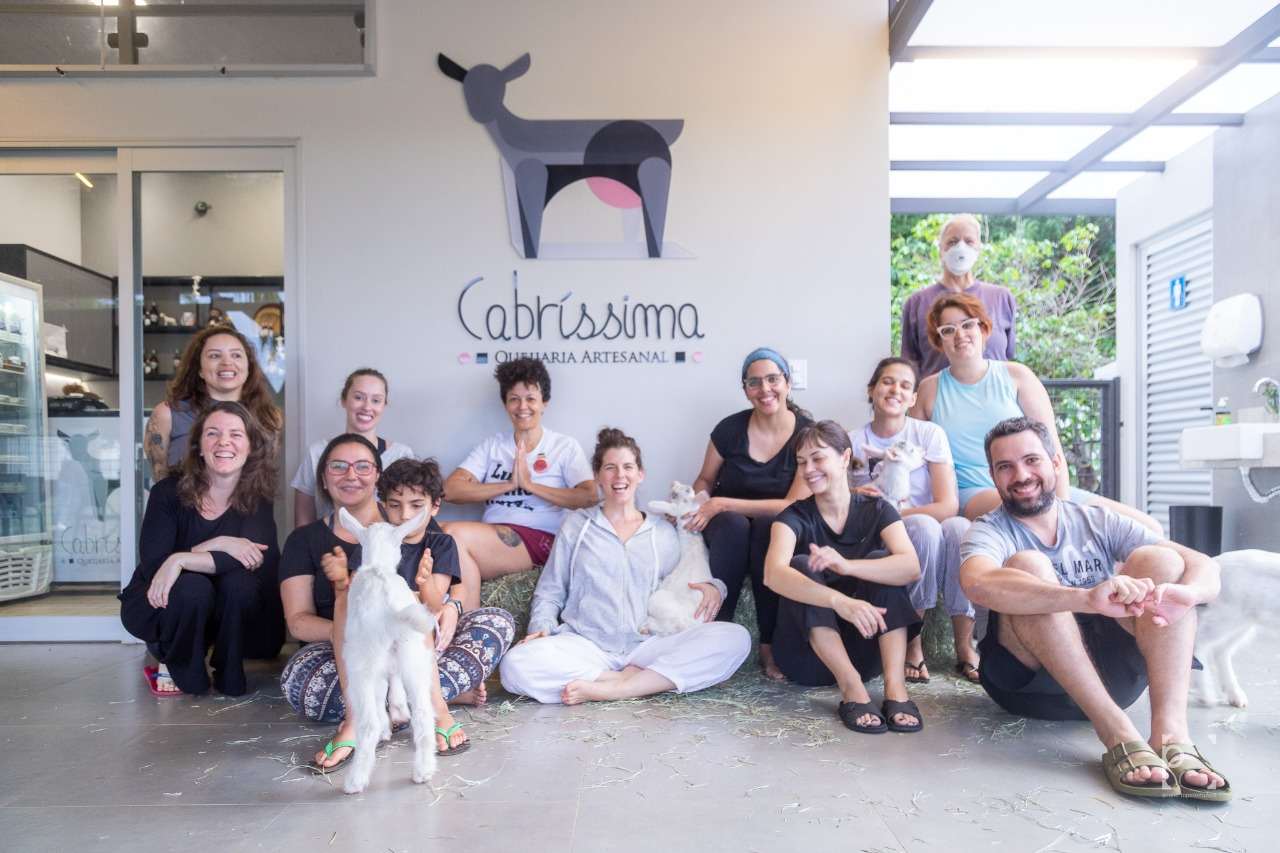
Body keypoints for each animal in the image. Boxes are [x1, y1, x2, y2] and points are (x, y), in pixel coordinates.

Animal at [337, 504, 437, 788]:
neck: (377, 566)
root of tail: (390, 612)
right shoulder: (394, 660)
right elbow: (391, 684)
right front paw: (398, 711)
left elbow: (380, 692)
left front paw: (386, 726)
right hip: (414, 655)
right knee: (423, 714)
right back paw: (424, 771)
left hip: (361, 667)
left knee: (367, 722)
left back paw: (355, 781)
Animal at [645, 481, 716, 635]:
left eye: (687, 490)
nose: (674, 484)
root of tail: (685, 623)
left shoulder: (678, 509)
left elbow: (668, 506)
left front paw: (651, 504)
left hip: (656, 600)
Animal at [1187, 548, 1280, 706]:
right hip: (1226, 617)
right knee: (1198, 641)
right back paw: (1207, 696)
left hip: (1242, 623)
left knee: (1221, 651)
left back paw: (1237, 698)